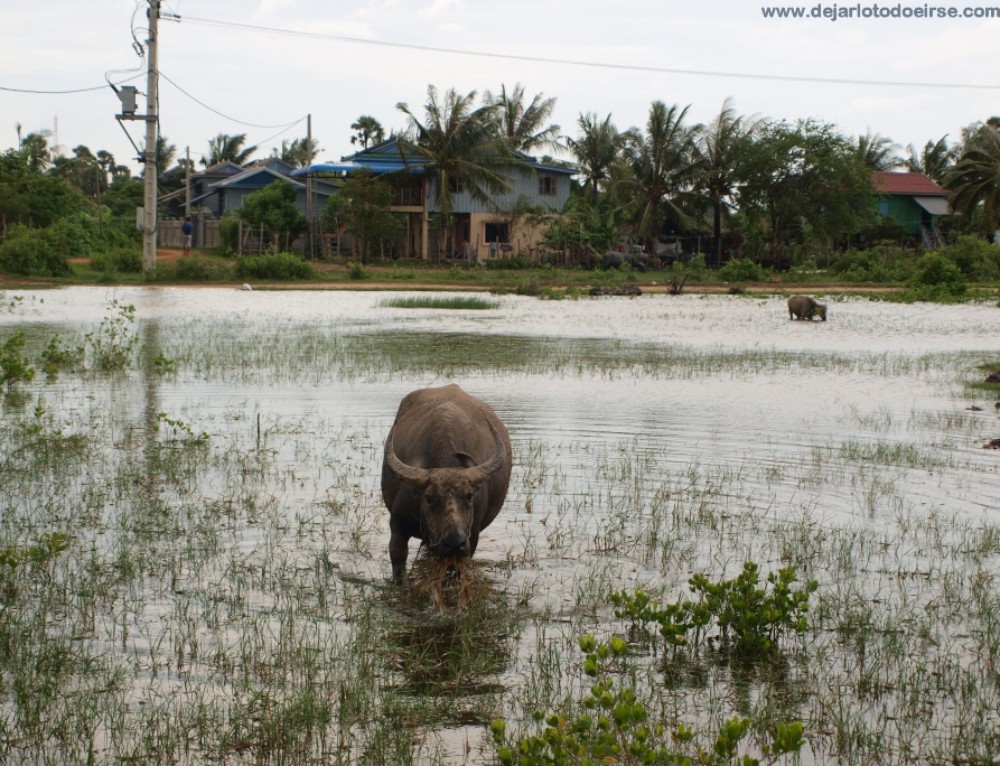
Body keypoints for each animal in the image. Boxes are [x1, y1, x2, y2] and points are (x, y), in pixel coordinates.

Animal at [378, 384, 512, 584]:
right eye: (428, 497)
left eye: (469, 496)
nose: (454, 543)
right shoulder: (398, 525)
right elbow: (398, 560)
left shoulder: (471, 538)